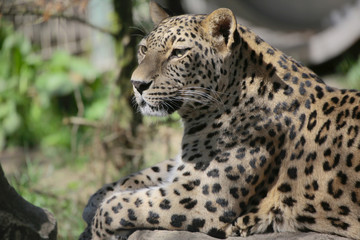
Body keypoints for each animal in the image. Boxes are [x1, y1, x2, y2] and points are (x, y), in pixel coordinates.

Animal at [80, 1, 360, 240]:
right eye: (143, 49)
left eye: (178, 53)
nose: (136, 84)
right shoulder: (186, 165)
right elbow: (141, 174)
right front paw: (92, 201)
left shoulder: (200, 198)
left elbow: (122, 204)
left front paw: (97, 229)